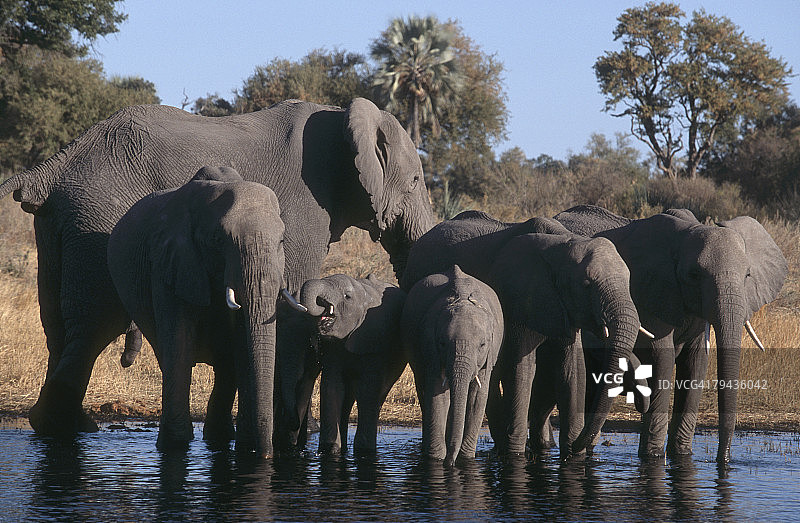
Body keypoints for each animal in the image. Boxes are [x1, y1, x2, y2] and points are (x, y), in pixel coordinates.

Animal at [107, 166, 286, 455]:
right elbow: (179, 342)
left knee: (226, 363)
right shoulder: (168, 263)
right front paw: (174, 445)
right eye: (218, 240)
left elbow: (242, 344)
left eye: (281, 240)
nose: (267, 453)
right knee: (168, 355)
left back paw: (220, 436)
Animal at [297, 274, 407, 455]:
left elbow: (367, 390)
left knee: (377, 394)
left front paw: (363, 451)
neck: (363, 293)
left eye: (347, 297)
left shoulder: (375, 343)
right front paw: (330, 450)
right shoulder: (333, 348)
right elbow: (331, 387)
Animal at [401, 265, 504, 466]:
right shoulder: (430, 345)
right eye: (442, 343)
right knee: (423, 388)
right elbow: (437, 395)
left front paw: (465, 459)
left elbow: (477, 397)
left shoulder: (489, 355)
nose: (451, 463)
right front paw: (437, 459)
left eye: (482, 345)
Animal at [554, 205, 788, 463]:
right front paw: (654, 457)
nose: (723, 460)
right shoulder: (650, 292)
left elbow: (696, 361)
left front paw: (682, 455)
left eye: (747, 275)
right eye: (694, 275)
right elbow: (662, 358)